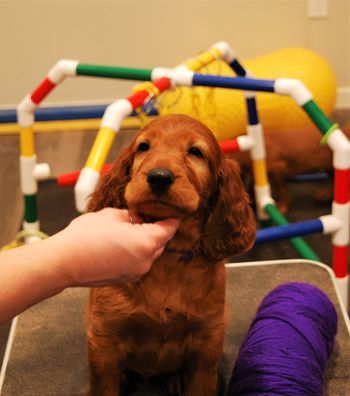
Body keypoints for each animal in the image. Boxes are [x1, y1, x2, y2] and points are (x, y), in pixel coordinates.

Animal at [86, 113, 256, 394]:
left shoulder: (208, 341)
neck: (169, 255)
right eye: (144, 147)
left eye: (196, 151)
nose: (159, 177)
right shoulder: (104, 339)